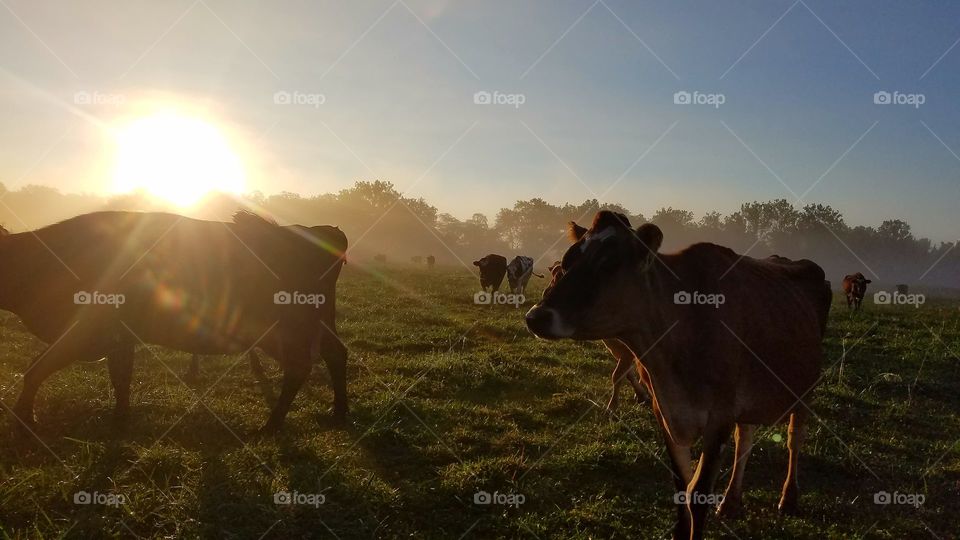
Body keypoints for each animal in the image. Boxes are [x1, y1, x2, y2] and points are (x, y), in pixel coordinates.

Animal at [524, 211, 832, 540]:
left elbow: (698, 493)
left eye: (607, 263)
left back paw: (789, 498)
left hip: (806, 386)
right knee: (745, 439)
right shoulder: (665, 410)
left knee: (794, 439)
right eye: (567, 260)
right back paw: (731, 502)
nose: (535, 316)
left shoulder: (719, 416)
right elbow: (682, 486)